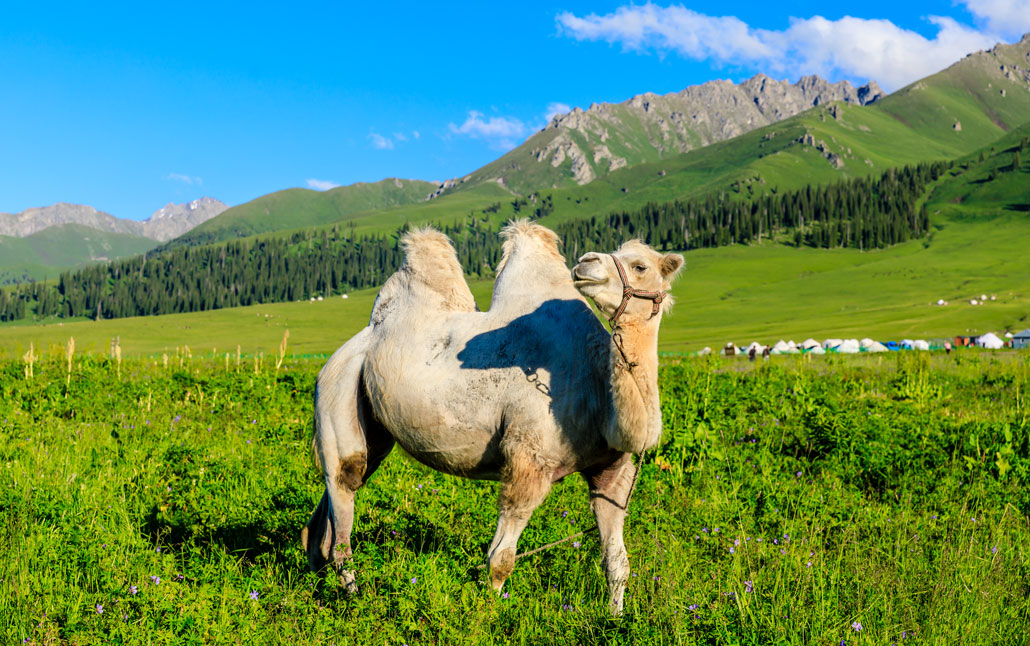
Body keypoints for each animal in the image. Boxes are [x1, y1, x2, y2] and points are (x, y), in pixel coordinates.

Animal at [301, 219, 683, 614]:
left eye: (640, 266)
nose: (586, 262)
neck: (596, 388)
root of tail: (344, 352)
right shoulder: (527, 461)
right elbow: (501, 559)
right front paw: (491, 615)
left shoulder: (611, 471)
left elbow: (617, 560)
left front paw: (615, 616)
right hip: (337, 390)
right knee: (344, 491)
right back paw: (353, 597)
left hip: (371, 432)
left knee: (322, 519)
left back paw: (319, 588)